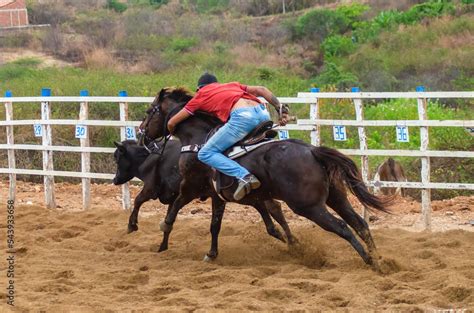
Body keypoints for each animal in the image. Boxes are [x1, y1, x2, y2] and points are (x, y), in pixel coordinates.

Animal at [113, 138, 294, 244]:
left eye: (117, 158)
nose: (115, 180)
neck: (148, 156)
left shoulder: (151, 188)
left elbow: (138, 200)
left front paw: (131, 225)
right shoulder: (174, 196)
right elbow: (169, 216)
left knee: (270, 207)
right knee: (274, 207)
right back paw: (290, 239)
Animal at [139, 86, 390, 270]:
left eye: (150, 111)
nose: (142, 134)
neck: (198, 140)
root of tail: (312, 151)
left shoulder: (190, 187)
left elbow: (173, 213)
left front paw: (162, 245)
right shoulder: (226, 195)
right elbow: (217, 225)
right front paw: (212, 253)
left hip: (308, 206)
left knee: (342, 227)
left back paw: (370, 262)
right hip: (336, 198)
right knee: (359, 223)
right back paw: (380, 260)